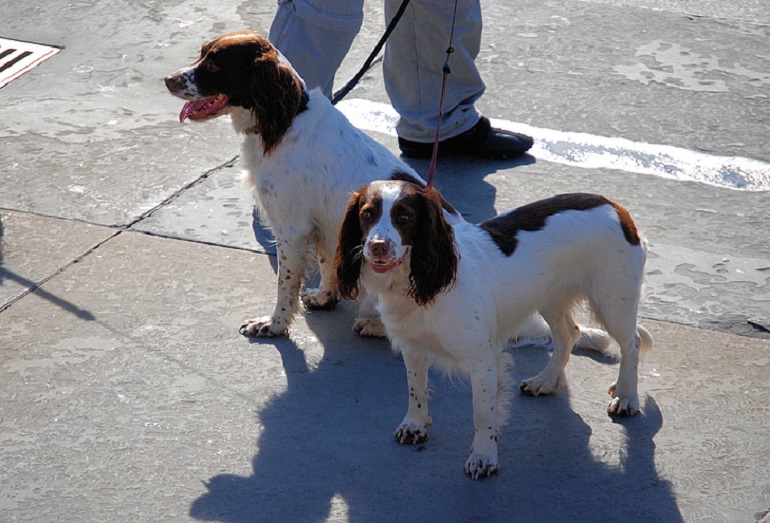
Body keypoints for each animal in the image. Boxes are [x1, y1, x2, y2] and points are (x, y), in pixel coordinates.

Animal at [164, 30, 424, 338]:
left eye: (215, 65)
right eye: (202, 53)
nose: (168, 79)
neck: (284, 121)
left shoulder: (292, 229)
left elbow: (284, 284)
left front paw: (273, 324)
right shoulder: (323, 228)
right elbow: (326, 264)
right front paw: (324, 298)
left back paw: (376, 325)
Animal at [332, 179, 652, 478]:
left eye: (405, 216)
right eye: (366, 214)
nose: (377, 247)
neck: (419, 284)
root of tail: (616, 208)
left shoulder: (482, 360)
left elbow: (482, 413)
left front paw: (484, 457)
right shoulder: (413, 348)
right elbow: (416, 389)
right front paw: (415, 424)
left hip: (613, 301)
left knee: (632, 344)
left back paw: (626, 396)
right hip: (551, 297)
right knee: (568, 334)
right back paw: (545, 381)